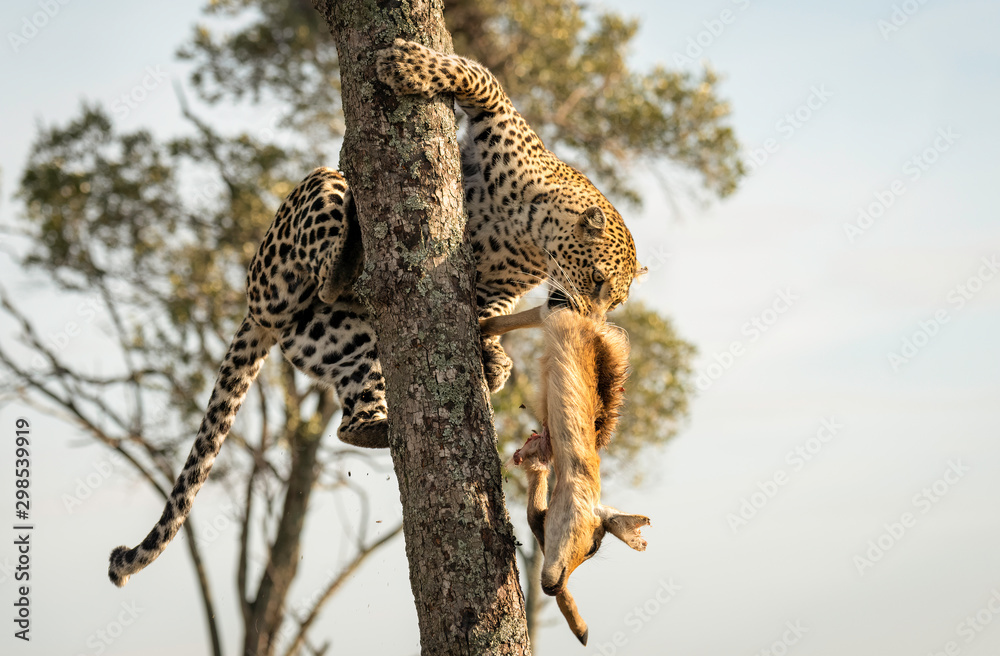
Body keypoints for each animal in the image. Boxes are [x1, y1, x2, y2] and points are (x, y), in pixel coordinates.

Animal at [108, 38, 644, 588]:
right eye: (599, 282)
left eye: (614, 300)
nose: (593, 320)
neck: (529, 232)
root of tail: (257, 313)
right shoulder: (500, 124)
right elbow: (478, 76)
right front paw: (405, 64)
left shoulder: (498, 286)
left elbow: (486, 310)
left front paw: (494, 357)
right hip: (308, 209)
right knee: (331, 239)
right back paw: (354, 244)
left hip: (344, 340)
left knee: (349, 413)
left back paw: (395, 425)